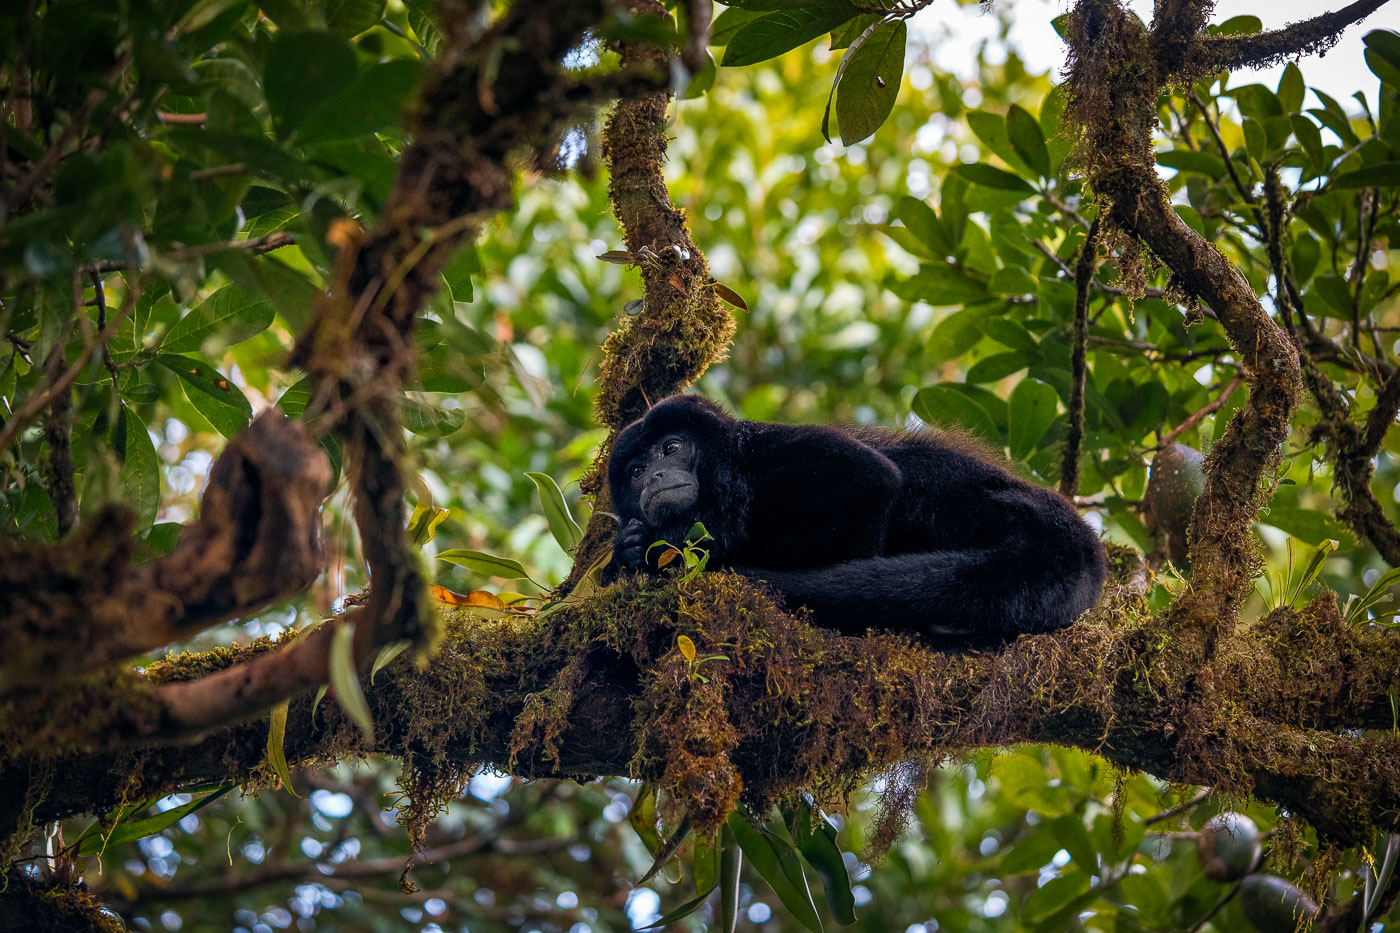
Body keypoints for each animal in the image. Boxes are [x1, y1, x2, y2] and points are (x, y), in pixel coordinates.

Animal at [610, 392, 1103, 638]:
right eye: (635, 472)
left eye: (672, 448)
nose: (655, 475)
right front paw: (632, 548)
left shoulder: (775, 451)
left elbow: (872, 479)